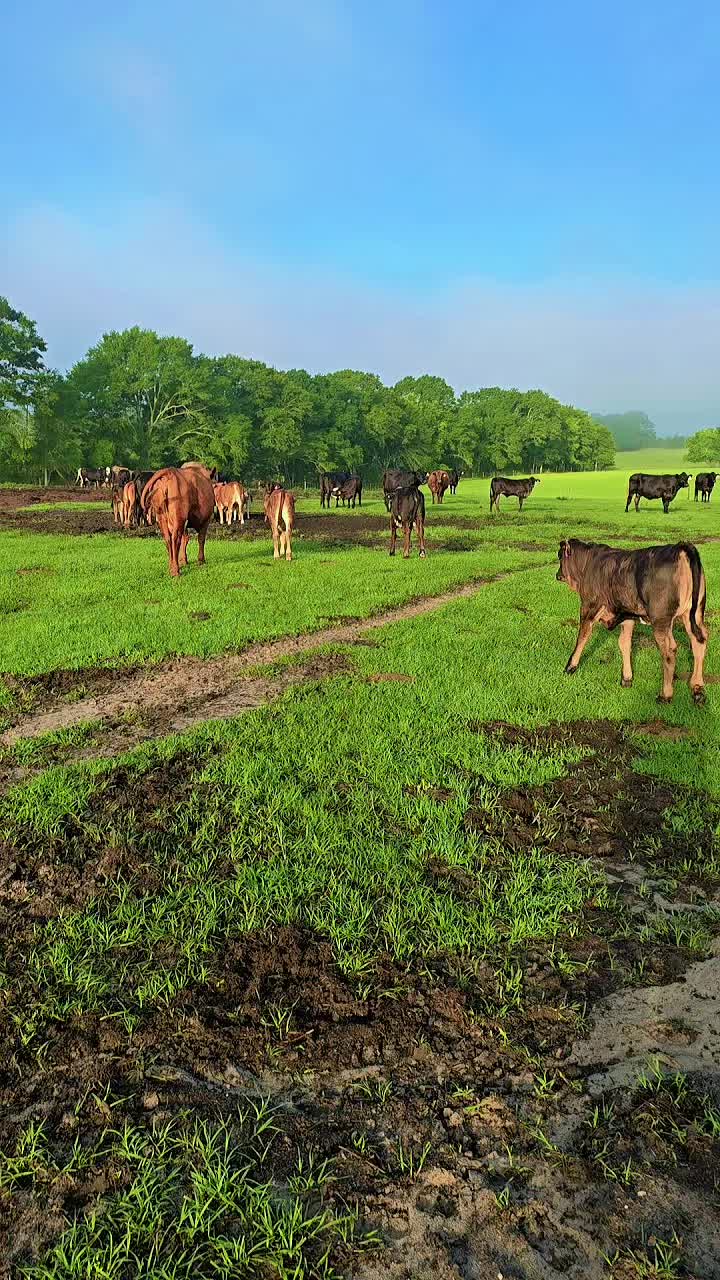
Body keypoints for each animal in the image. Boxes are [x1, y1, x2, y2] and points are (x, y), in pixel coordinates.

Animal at [557, 538, 708, 705]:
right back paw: (697, 689)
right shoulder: (627, 615)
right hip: (694, 614)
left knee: (669, 651)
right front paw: (626, 678)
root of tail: (679, 546)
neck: (589, 563)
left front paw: (570, 667)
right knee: (699, 641)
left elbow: (582, 638)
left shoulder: (589, 606)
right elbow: (624, 643)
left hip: (661, 620)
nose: (557, 575)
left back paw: (665, 695)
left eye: (559, 556)